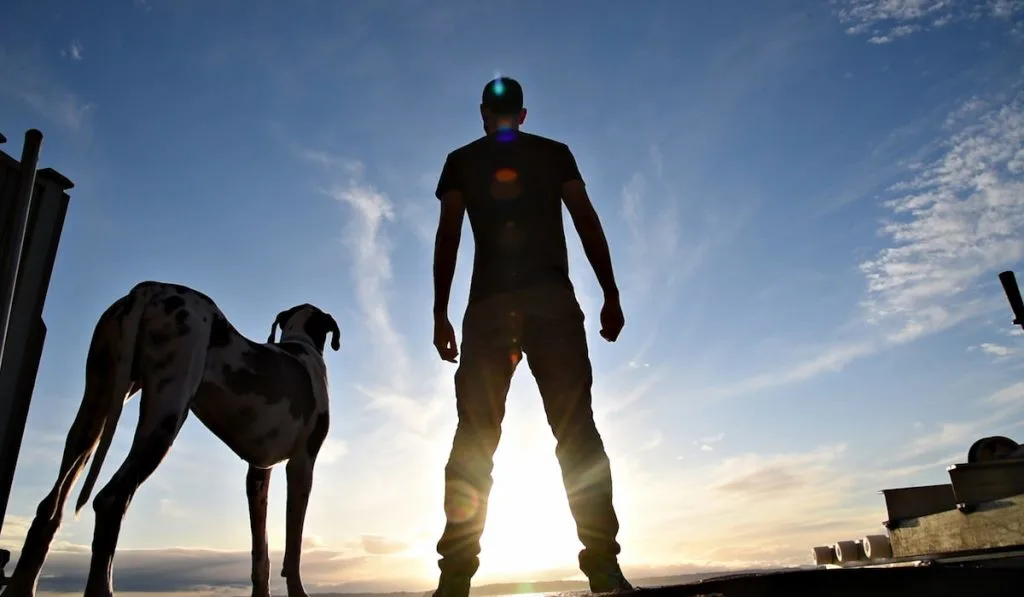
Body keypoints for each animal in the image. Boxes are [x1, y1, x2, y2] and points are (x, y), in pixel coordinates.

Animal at [4, 280, 339, 597]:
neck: (302, 345)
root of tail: (148, 289)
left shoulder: (258, 472)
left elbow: (261, 550)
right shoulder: (302, 465)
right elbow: (293, 546)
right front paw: (298, 590)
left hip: (94, 412)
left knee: (50, 506)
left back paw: (21, 586)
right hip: (165, 415)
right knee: (111, 499)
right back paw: (101, 589)